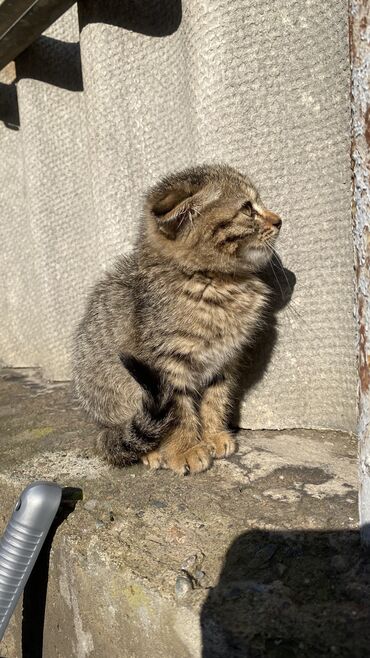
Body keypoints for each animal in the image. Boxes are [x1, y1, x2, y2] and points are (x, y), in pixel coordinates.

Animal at [71, 163, 280, 472]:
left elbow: (215, 398)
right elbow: (178, 411)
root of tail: (100, 429)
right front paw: (185, 449)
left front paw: (214, 435)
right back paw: (152, 451)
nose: (279, 221)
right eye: (247, 209)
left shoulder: (224, 359)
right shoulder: (164, 365)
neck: (216, 285)